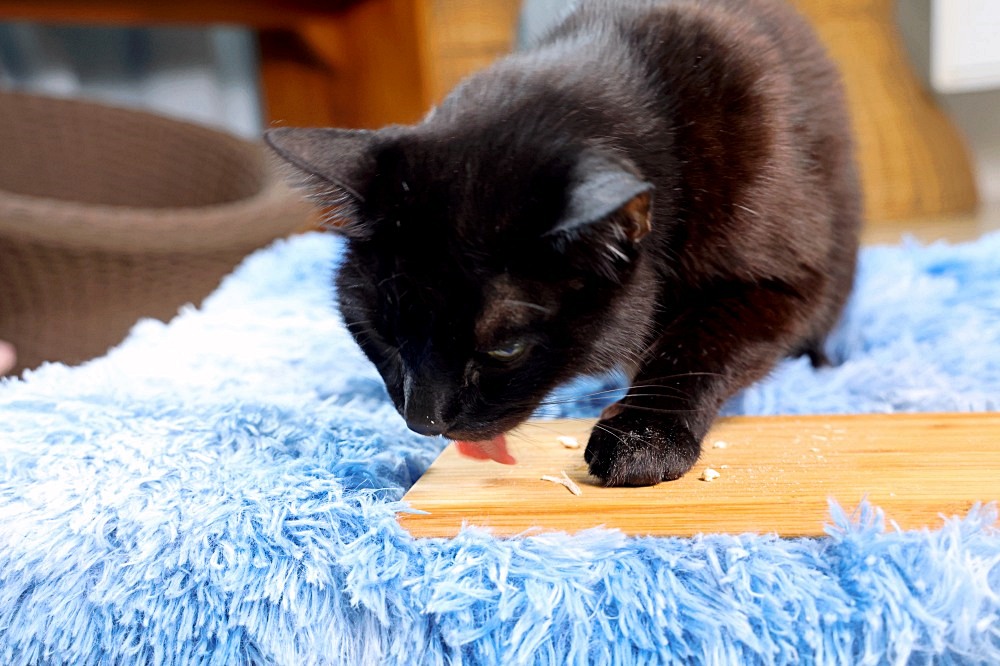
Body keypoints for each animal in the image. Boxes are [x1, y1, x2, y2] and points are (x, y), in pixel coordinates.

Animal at [266, 0, 860, 486]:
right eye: (380, 334)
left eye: (505, 349)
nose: (424, 420)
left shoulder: (785, 283)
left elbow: (697, 344)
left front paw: (644, 439)